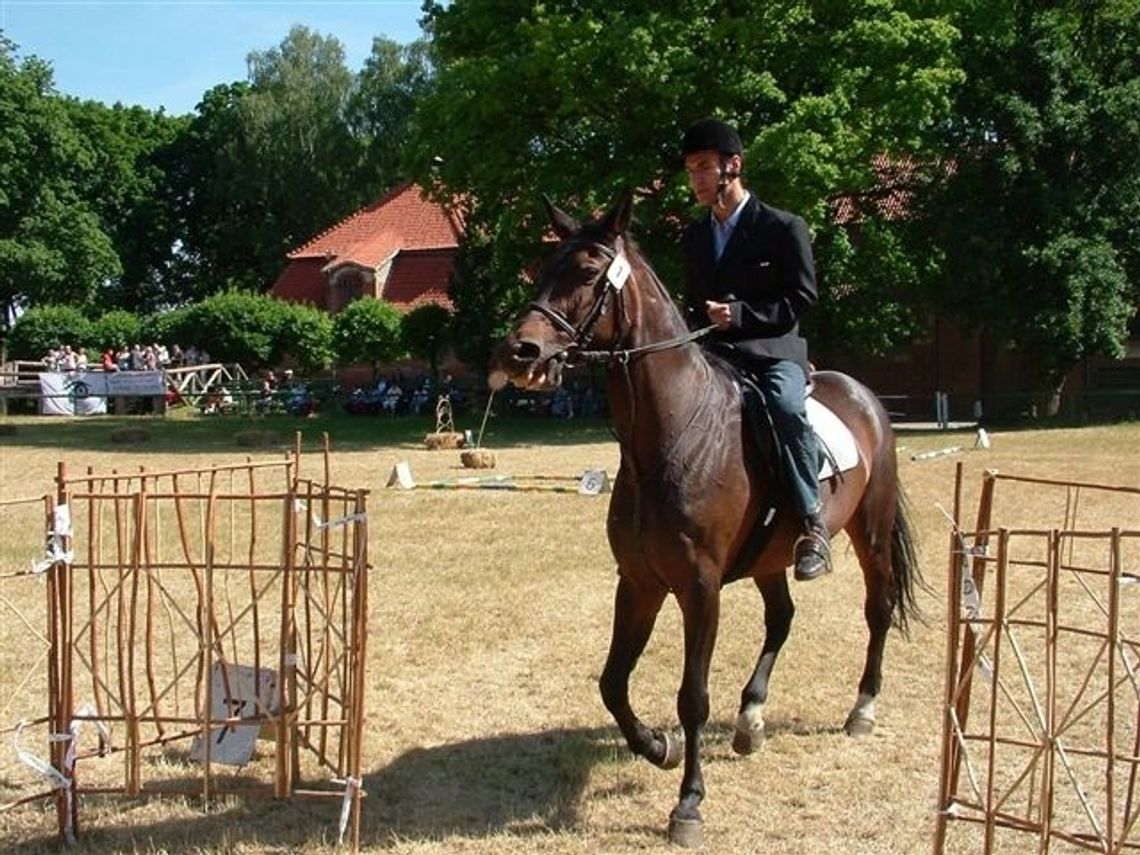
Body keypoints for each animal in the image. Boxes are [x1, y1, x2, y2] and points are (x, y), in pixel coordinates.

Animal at [485, 193, 921, 852]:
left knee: (877, 609)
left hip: (868, 532)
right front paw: (656, 748)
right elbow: (612, 681)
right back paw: (750, 720)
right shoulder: (639, 581)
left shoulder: (699, 586)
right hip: (770, 557)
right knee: (781, 618)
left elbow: (691, 696)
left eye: (586, 273)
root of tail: (864, 397)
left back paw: (862, 710)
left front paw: (688, 803)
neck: (665, 438)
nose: (519, 354)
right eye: (542, 269)